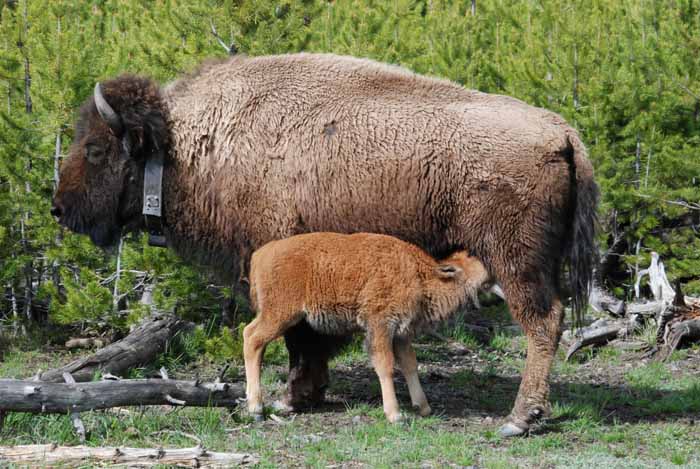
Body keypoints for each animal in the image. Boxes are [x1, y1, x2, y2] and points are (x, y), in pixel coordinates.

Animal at [243, 232, 490, 422]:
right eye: (475, 263)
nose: (492, 275)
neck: (420, 273)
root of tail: (263, 253)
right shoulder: (380, 326)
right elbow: (385, 365)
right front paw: (395, 415)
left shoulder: (401, 334)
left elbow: (410, 364)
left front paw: (423, 407)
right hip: (279, 314)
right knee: (253, 339)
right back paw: (256, 408)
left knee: (252, 337)